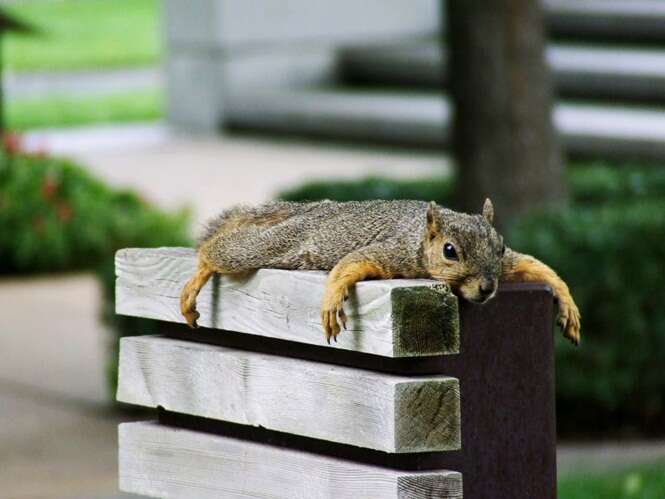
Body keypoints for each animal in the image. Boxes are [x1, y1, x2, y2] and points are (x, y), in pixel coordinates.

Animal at [179, 197, 580, 346]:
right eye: (449, 251)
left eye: (499, 246)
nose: (487, 287)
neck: (420, 240)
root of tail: (309, 210)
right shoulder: (392, 252)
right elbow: (349, 264)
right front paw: (331, 300)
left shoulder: (509, 263)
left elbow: (535, 266)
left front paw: (568, 305)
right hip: (270, 247)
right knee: (218, 251)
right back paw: (197, 276)